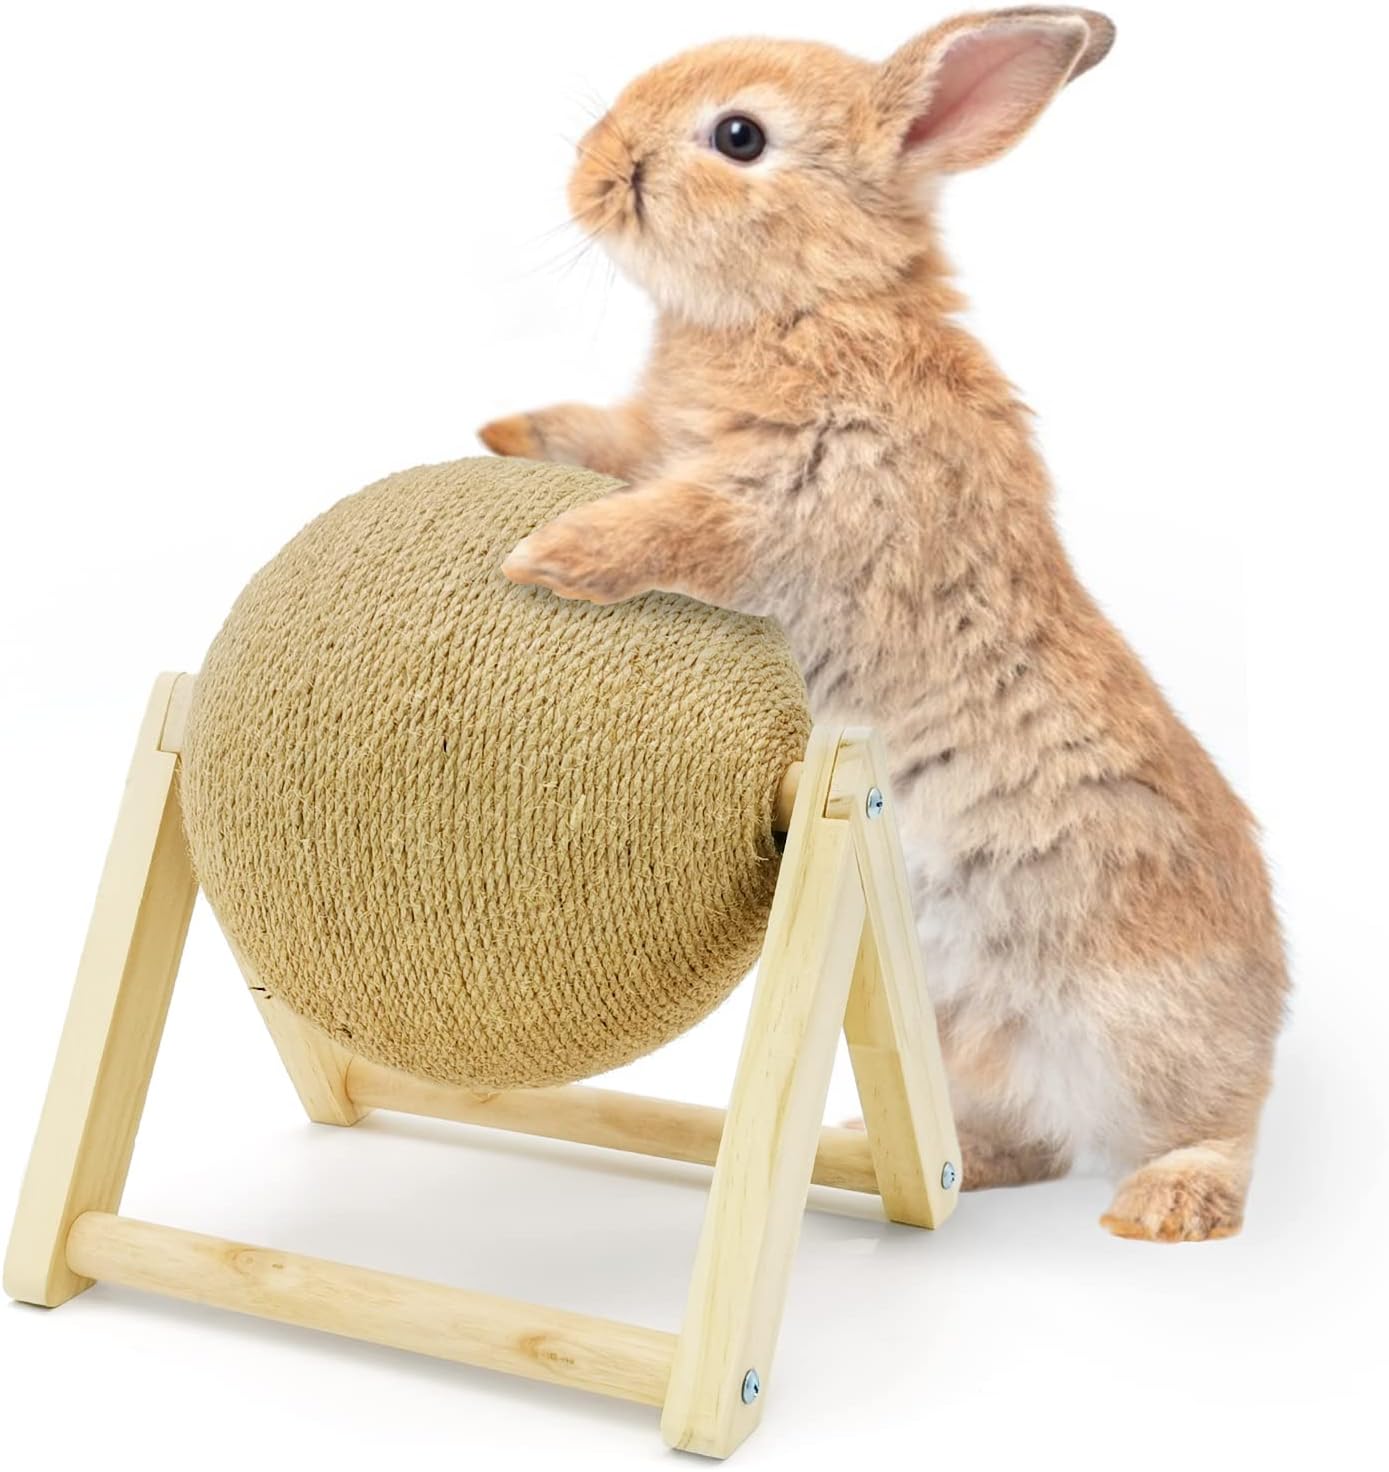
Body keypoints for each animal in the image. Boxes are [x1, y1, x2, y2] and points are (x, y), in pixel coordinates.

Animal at [480, 6, 1288, 1241]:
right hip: (947, 1033)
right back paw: (893, 1150)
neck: (808, 302)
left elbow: (675, 526)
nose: (590, 173)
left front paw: (556, 556)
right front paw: (504, 436)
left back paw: (1163, 1205)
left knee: (1218, 1122)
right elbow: (603, 440)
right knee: (1013, 1144)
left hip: (1149, 1015)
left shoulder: (795, 504)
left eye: (738, 136)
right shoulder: (657, 444)